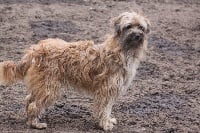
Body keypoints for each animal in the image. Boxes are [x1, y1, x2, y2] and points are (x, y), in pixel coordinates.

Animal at [0, 11, 150, 131]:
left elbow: (107, 108)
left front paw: (108, 121)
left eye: (141, 27)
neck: (123, 49)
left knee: (29, 99)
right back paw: (35, 124)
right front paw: (105, 124)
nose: (138, 35)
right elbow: (104, 108)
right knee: (34, 105)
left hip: (42, 85)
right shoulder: (107, 89)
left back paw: (30, 119)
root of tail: (35, 50)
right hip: (50, 87)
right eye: (128, 26)